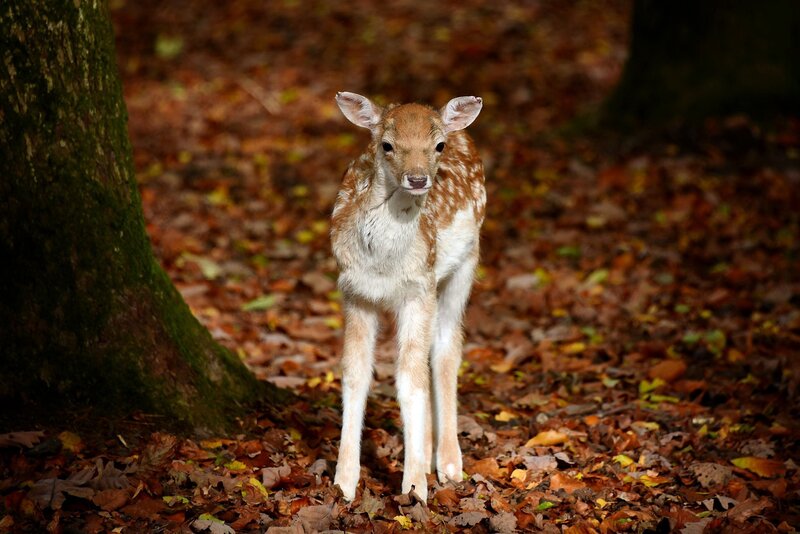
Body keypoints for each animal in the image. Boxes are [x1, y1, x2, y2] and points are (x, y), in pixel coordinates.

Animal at [330, 92, 485, 502]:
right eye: (387, 144)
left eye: (438, 145)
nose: (417, 179)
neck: (384, 266)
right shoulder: (354, 290)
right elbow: (355, 374)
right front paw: (344, 482)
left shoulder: (419, 286)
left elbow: (409, 378)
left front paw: (414, 486)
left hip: (465, 264)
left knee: (446, 349)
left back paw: (448, 465)